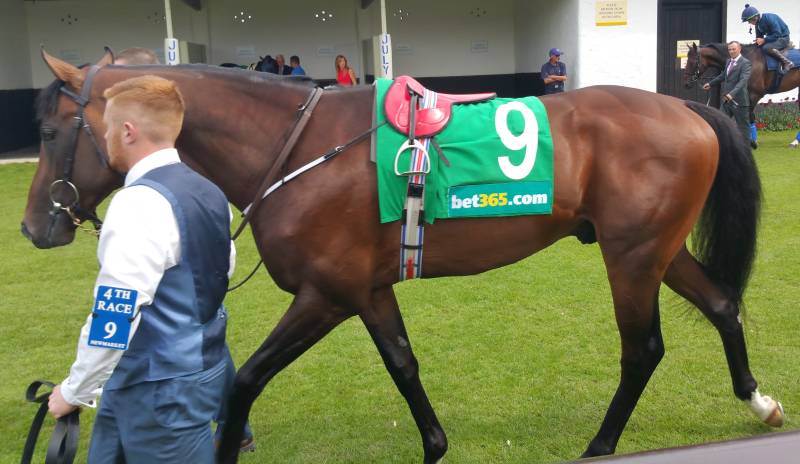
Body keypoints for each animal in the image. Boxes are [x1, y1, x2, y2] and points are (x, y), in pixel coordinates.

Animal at [22, 49, 784, 463]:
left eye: (53, 130)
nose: (33, 227)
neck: (298, 149)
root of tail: (687, 109)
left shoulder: (326, 294)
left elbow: (246, 382)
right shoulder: (367, 289)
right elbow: (403, 363)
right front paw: (435, 444)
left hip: (632, 257)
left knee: (643, 348)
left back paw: (600, 445)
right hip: (655, 249)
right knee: (721, 303)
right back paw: (759, 401)